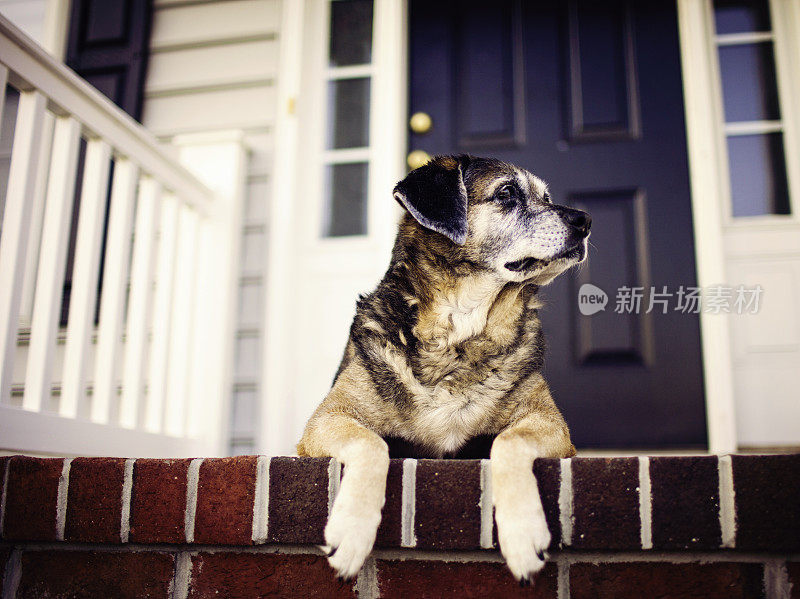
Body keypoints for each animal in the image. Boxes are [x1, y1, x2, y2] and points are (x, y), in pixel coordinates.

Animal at [296, 154, 592, 580]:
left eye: (547, 198)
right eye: (507, 193)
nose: (585, 220)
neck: (458, 335)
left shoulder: (551, 424)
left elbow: (509, 440)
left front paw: (523, 534)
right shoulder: (325, 420)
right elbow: (370, 443)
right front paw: (351, 531)